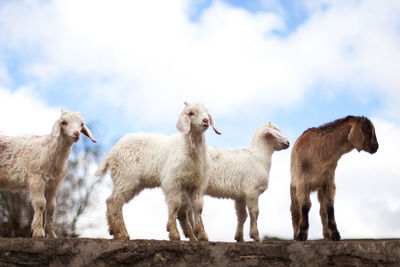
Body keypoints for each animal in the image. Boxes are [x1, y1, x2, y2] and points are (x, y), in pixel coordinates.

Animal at [0, 109, 96, 239]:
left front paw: (52, 234)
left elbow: (51, 207)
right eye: (63, 122)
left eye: (81, 124)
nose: (76, 133)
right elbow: (41, 204)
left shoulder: (55, 184)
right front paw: (38, 232)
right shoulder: (36, 179)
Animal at [96, 101, 222, 242]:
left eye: (207, 112)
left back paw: (114, 231)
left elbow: (198, 207)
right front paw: (173, 233)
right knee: (115, 201)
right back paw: (123, 233)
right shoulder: (172, 181)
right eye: (190, 113)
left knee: (110, 200)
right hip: (126, 176)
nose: (206, 120)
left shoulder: (197, 184)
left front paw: (203, 235)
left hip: (130, 181)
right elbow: (175, 204)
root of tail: (111, 153)